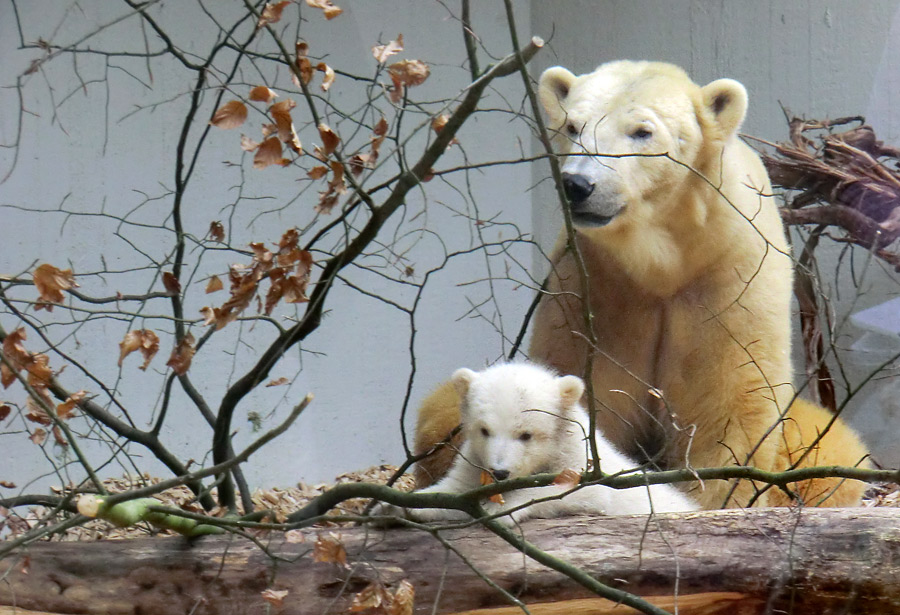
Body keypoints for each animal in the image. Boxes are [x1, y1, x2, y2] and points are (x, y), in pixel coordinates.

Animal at [416, 60, 872, 510]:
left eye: (642, 131)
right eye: (573, 126)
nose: (577, 185)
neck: (662, 261)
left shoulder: (726, 274)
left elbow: (726, 398)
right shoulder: (595, 286)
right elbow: (592, 393)